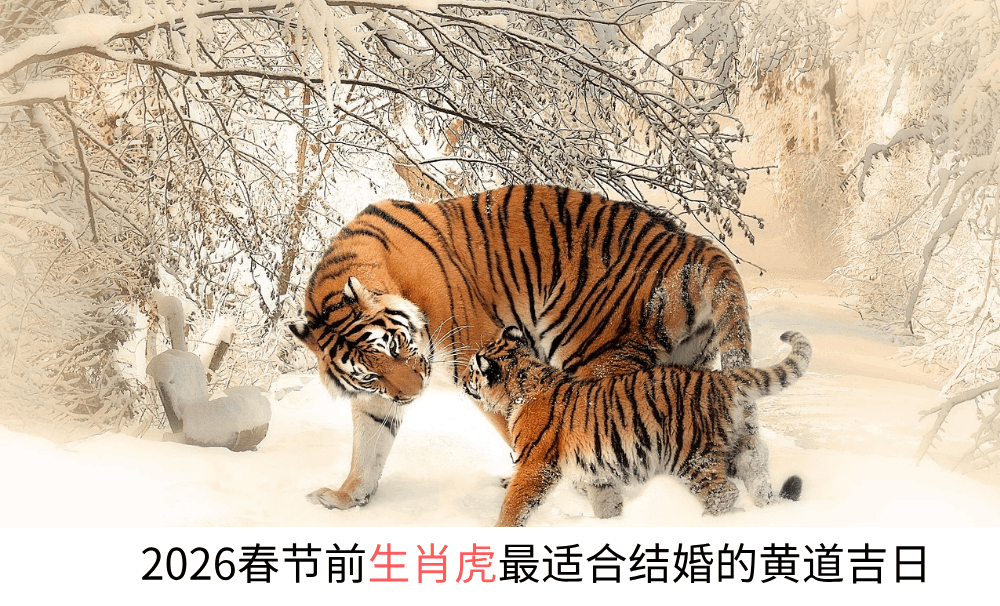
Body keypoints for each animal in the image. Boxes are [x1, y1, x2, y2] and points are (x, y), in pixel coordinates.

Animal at [290, 184, 754, 515]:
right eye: (370, 373)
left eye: (398, 347)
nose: (413, 394)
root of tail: (696, 245)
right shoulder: (376, 397)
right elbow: (368, 446)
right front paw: (347, 497)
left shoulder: (477, 354)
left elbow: (515, 426)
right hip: (683, 365)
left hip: (594, 355)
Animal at [461, 326, 810, 526]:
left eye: (472, 369)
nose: (462, 379)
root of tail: (719, 378)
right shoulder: (597, 473)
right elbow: (606, 504)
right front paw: (611, 528)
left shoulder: (535, 465)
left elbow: (515, 504)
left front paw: (501, 530)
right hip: (740, 447)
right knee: (757, 476)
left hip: (692, 456)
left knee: (723, 493)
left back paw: (704, 523)